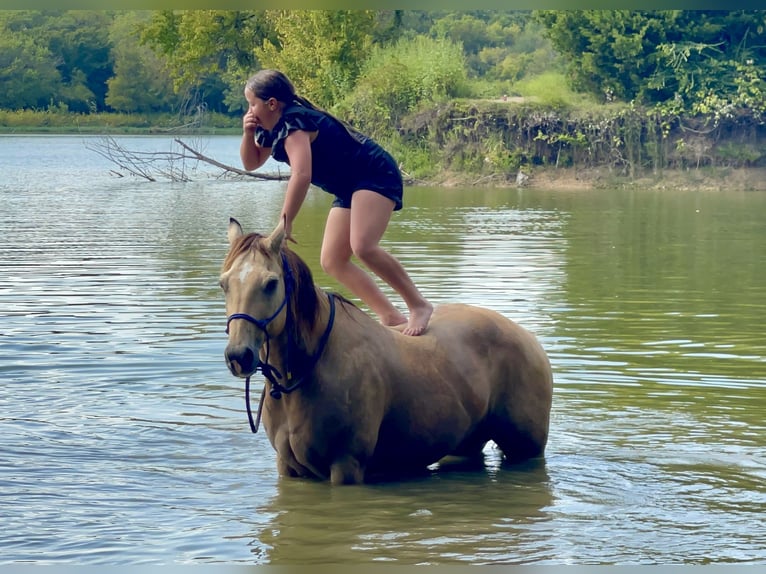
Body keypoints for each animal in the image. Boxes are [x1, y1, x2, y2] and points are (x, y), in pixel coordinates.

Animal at [220, 217, 553, 485]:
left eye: (270, 283)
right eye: (224, 284)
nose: (239, 356)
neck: (309, 371)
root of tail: (529, 338)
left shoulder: (346, 466)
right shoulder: (287, 468)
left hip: (527, 450)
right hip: (465, 445)